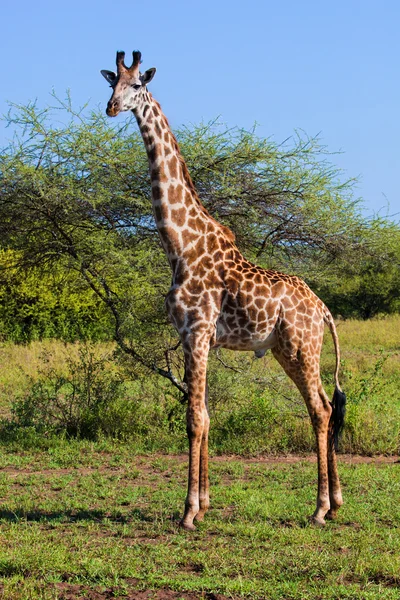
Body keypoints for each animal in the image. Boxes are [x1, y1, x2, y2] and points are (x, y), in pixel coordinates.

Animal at [101, 50, 346, 528]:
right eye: (108, 84)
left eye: (138, 84)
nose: (112, 108)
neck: (180, 244)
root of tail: (324, 309)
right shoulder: (195, 338)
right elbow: (208, 416)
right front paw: (206, 502)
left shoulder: (196, 331)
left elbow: (194, 419)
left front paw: (188, 512)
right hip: (287, 350)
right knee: (328, 405)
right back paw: (337, 500)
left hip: (301, 348)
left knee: (321, 409)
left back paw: (320, 509)